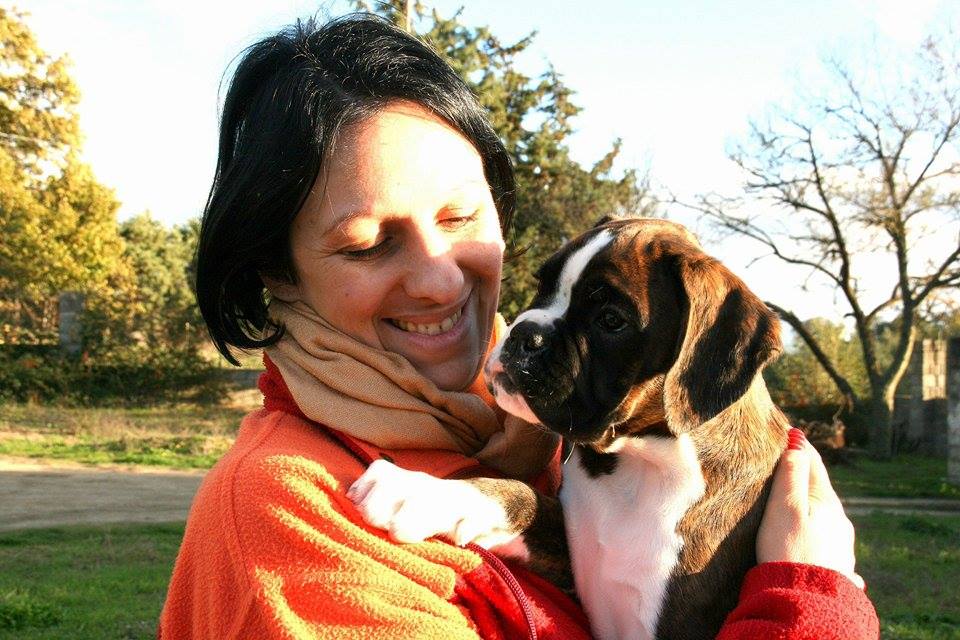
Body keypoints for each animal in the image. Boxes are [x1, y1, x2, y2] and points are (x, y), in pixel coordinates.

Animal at [349, 217, 789, 640]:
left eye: (611, 320)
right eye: (542, 285)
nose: (524, 333)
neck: (634, 460)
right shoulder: (571, 548)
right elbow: (520, 494)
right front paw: (421, 490)